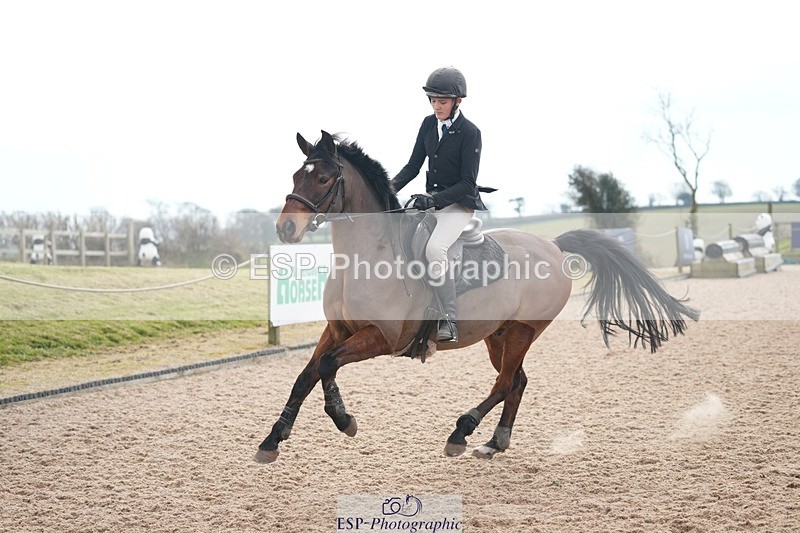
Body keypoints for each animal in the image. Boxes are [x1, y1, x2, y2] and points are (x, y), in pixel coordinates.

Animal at [255, 130, 699, 463]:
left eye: (323, 179)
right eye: (295, 175)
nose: (285, 230)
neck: (366, 258)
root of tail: (554, 246)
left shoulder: (382, 337)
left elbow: (328, 365)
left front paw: (343, 418)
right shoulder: (337, 330)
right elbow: (307, 374)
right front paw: (273, 439)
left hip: (523, 329)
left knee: (505, 382)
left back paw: (462, 432)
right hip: (497, 334)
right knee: (517, 380)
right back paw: (493, 442)